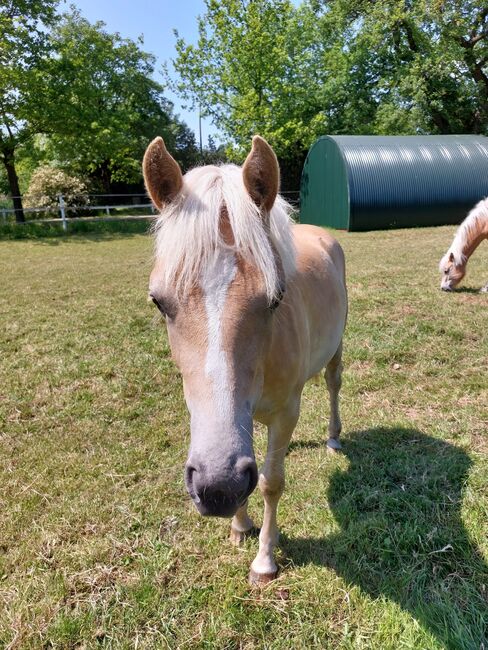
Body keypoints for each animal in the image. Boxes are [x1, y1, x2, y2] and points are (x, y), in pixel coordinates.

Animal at [143, 135, 348, 584]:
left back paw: (333, 438)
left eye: (275, 299)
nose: (216, 488)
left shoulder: (287, 412)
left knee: (333, 385)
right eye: (159, 302)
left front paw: (264, 560)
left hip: (337, 349)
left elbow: (271, 482)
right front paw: (239, 525)